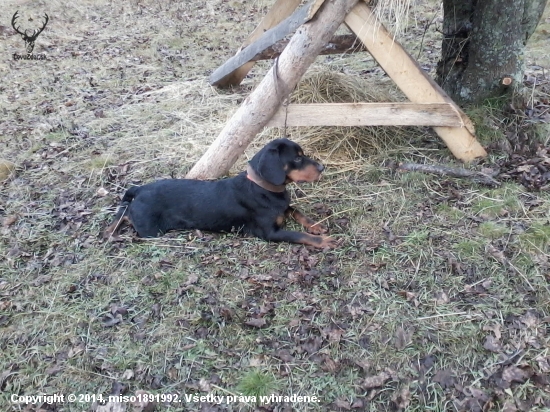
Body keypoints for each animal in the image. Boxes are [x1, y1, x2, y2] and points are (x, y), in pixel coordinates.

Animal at [103, 138, 336, 248]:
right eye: (296, 158)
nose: (322, 168)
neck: (263, 188)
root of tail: (140, 188)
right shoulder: (270, 233)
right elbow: (298, 235)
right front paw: (323, 241)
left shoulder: (283, 207)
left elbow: (296, 211)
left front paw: (316, 226)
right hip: (152, 230)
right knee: (126, 215)